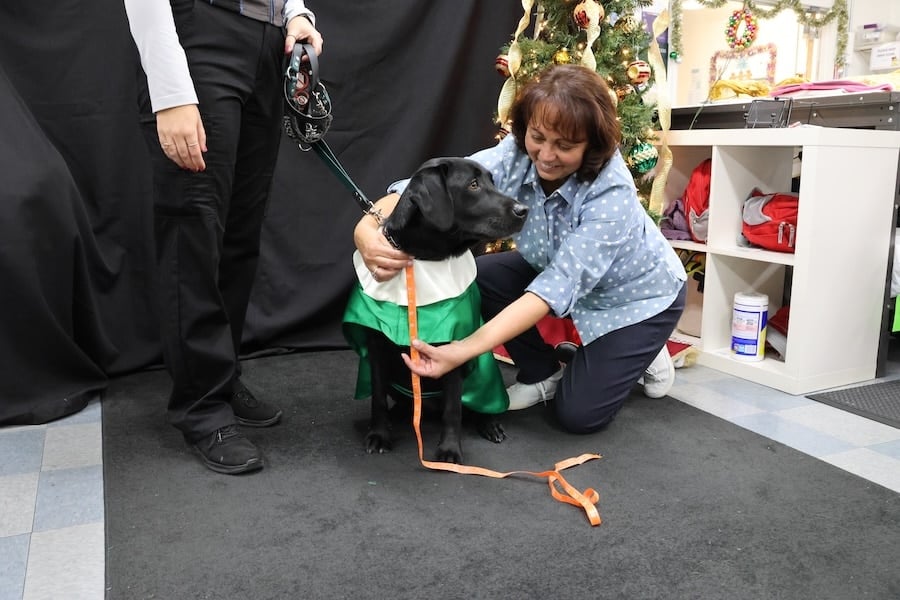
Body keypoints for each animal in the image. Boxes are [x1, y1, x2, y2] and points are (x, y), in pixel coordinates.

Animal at [342, 157, 528, 462]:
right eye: (473, 185)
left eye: (492, 181)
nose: (523, 209)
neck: (421, 258)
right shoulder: (377, 348)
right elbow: (377, 398)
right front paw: (379, 434)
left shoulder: (450, 351)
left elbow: (453, 409)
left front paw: (449, 451)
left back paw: (490, 425)